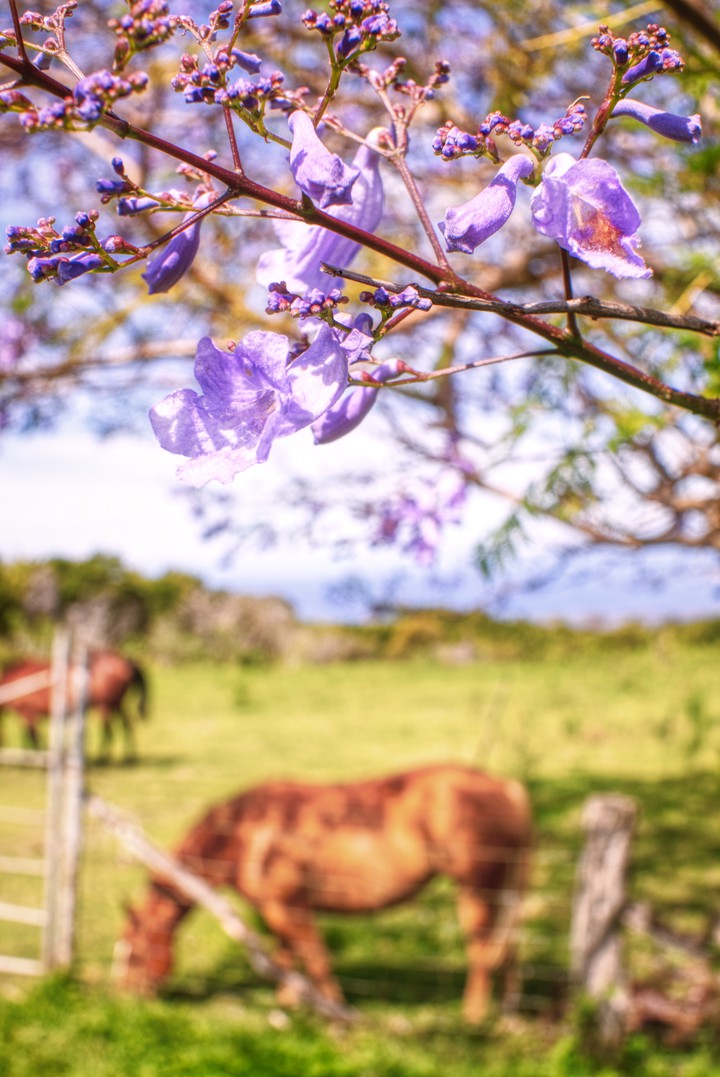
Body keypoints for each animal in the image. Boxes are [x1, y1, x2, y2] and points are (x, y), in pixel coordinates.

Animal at [0, 650, 149, 760]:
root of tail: (125, 661)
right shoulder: (26, 715)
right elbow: (27, 736)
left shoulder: (28, 712)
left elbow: (33, 737)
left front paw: (38, 756)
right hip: (116, 704)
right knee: (126, 725)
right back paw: (128, 756)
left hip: (105, 706)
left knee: (108, 730)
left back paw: (102, 758)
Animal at [117, 763, 532, 1022]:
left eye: (136, 953)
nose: (126, 997)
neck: (245, 833)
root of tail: (505, 788)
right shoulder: (275, 910)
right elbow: (286, 955)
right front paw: (288, 1003)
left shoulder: (290, 908)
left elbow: (315, 959)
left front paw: (334, 1012)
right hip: (501, 892)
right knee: (510, 947)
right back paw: (508, 1012)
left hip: (477, 892)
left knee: (483, 951)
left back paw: (473, 1017)